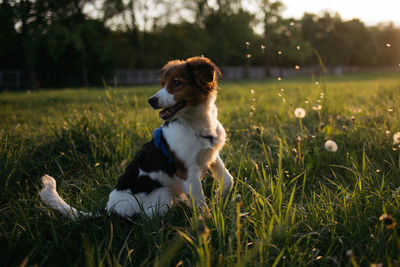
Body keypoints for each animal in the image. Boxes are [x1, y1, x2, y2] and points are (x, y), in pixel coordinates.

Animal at [39, 57, 233, 220]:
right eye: (163, 83)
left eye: (177, 83)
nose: (151, 101)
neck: (195, 125)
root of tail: (109, 210)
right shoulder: (188, 172)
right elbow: (200, 203)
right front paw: (207, 222)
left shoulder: (212, 155)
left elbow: (227, 180)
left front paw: (217, 199)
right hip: (163, 195)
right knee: (148, 218)